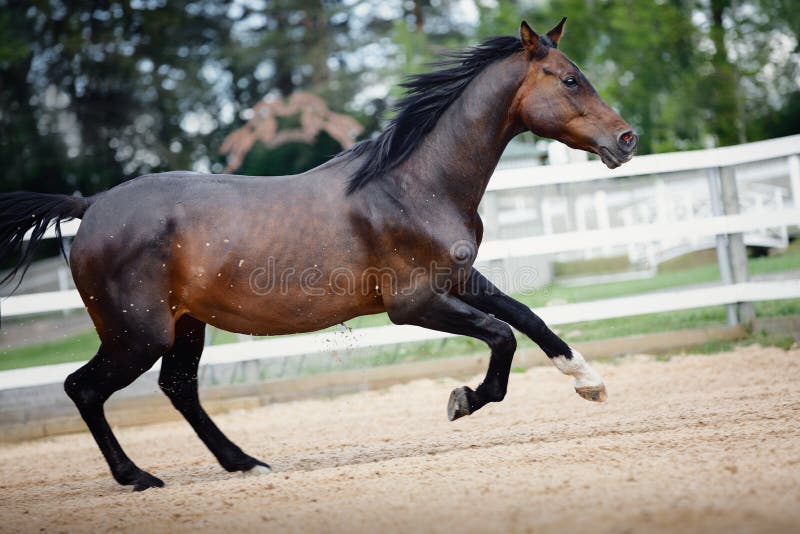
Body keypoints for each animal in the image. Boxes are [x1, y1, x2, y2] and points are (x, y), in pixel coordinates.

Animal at [0, 19, 636, 494]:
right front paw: (462, 401)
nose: (626, 139)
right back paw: (139, 477)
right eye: (570, 79)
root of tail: (89, 206)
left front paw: (590, 382)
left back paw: (246, 463)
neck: (412, 183)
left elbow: (527, 316)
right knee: (83, 389)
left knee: (178, 388)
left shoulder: (458, 277)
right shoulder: (413, 304)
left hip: (184, 327)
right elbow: (502, 336)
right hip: (137, 334)